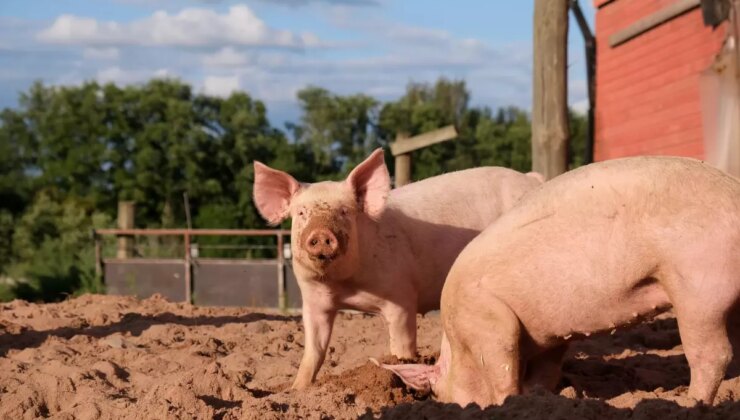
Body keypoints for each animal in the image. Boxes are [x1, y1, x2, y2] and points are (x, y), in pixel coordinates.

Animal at [253, 149, 544, 388]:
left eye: (345, 211)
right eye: (301, 213)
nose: (322, 234)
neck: (344, 286)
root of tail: (531, 179)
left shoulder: (401, 297)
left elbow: (401, 347)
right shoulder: (313, 300)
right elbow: (314, 351)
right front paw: (295, 391)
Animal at [378, 155, 740, 406]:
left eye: (439, 395)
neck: (457, 345)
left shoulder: (489, 321)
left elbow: (502, 369)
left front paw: (508, 403)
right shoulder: (547, 336)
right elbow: (545, 372)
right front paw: (541, 397)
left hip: (697, 287)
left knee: (712, 355)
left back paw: (690, 403)